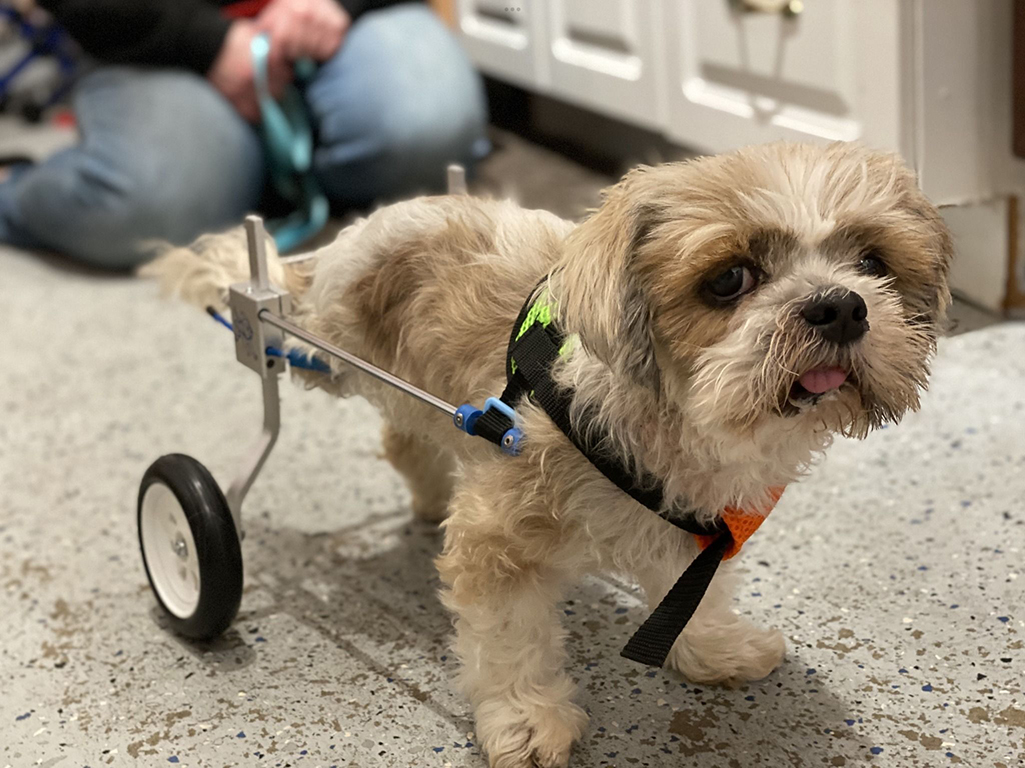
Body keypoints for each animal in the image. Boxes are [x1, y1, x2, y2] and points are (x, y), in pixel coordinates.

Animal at [144, 140, 951, 762]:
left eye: (871, 261)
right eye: (729, 279)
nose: (839, 305)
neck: (675, 433)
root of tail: (346, 244)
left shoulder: (699, 532)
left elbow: (695, 598)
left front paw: (713, 648)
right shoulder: (498, 547)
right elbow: (512, 644)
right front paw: (529, 721)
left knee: (407, 439)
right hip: (318, 351)